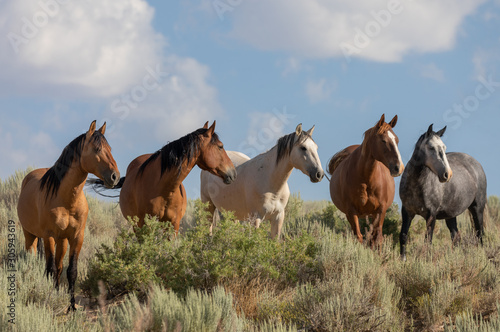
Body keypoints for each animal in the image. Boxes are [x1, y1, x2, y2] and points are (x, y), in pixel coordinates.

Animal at [16, 121, 120, 312]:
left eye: (110, 148)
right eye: (97, 149)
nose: (115, 177)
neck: (66, 201)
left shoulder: (77, 237)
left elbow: (71, 270)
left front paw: (72, 306)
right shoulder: (49, 236)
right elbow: (49, 269)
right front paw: (49, 300)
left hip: (62, 240)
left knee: (58, 266)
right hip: (30, 235)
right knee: (35, 259)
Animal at [400, 124, 486, 260]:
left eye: (444, 147)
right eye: (431, 147)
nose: (447, 174)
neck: (416, 185)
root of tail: (477, 164)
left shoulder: (431, 215)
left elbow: (428, 240)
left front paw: (426, 260)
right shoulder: (407, 211)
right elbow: (403, 235)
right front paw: (403, 260)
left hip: (477, 208)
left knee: (479, 233)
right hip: (451, 215)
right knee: (456, 237)